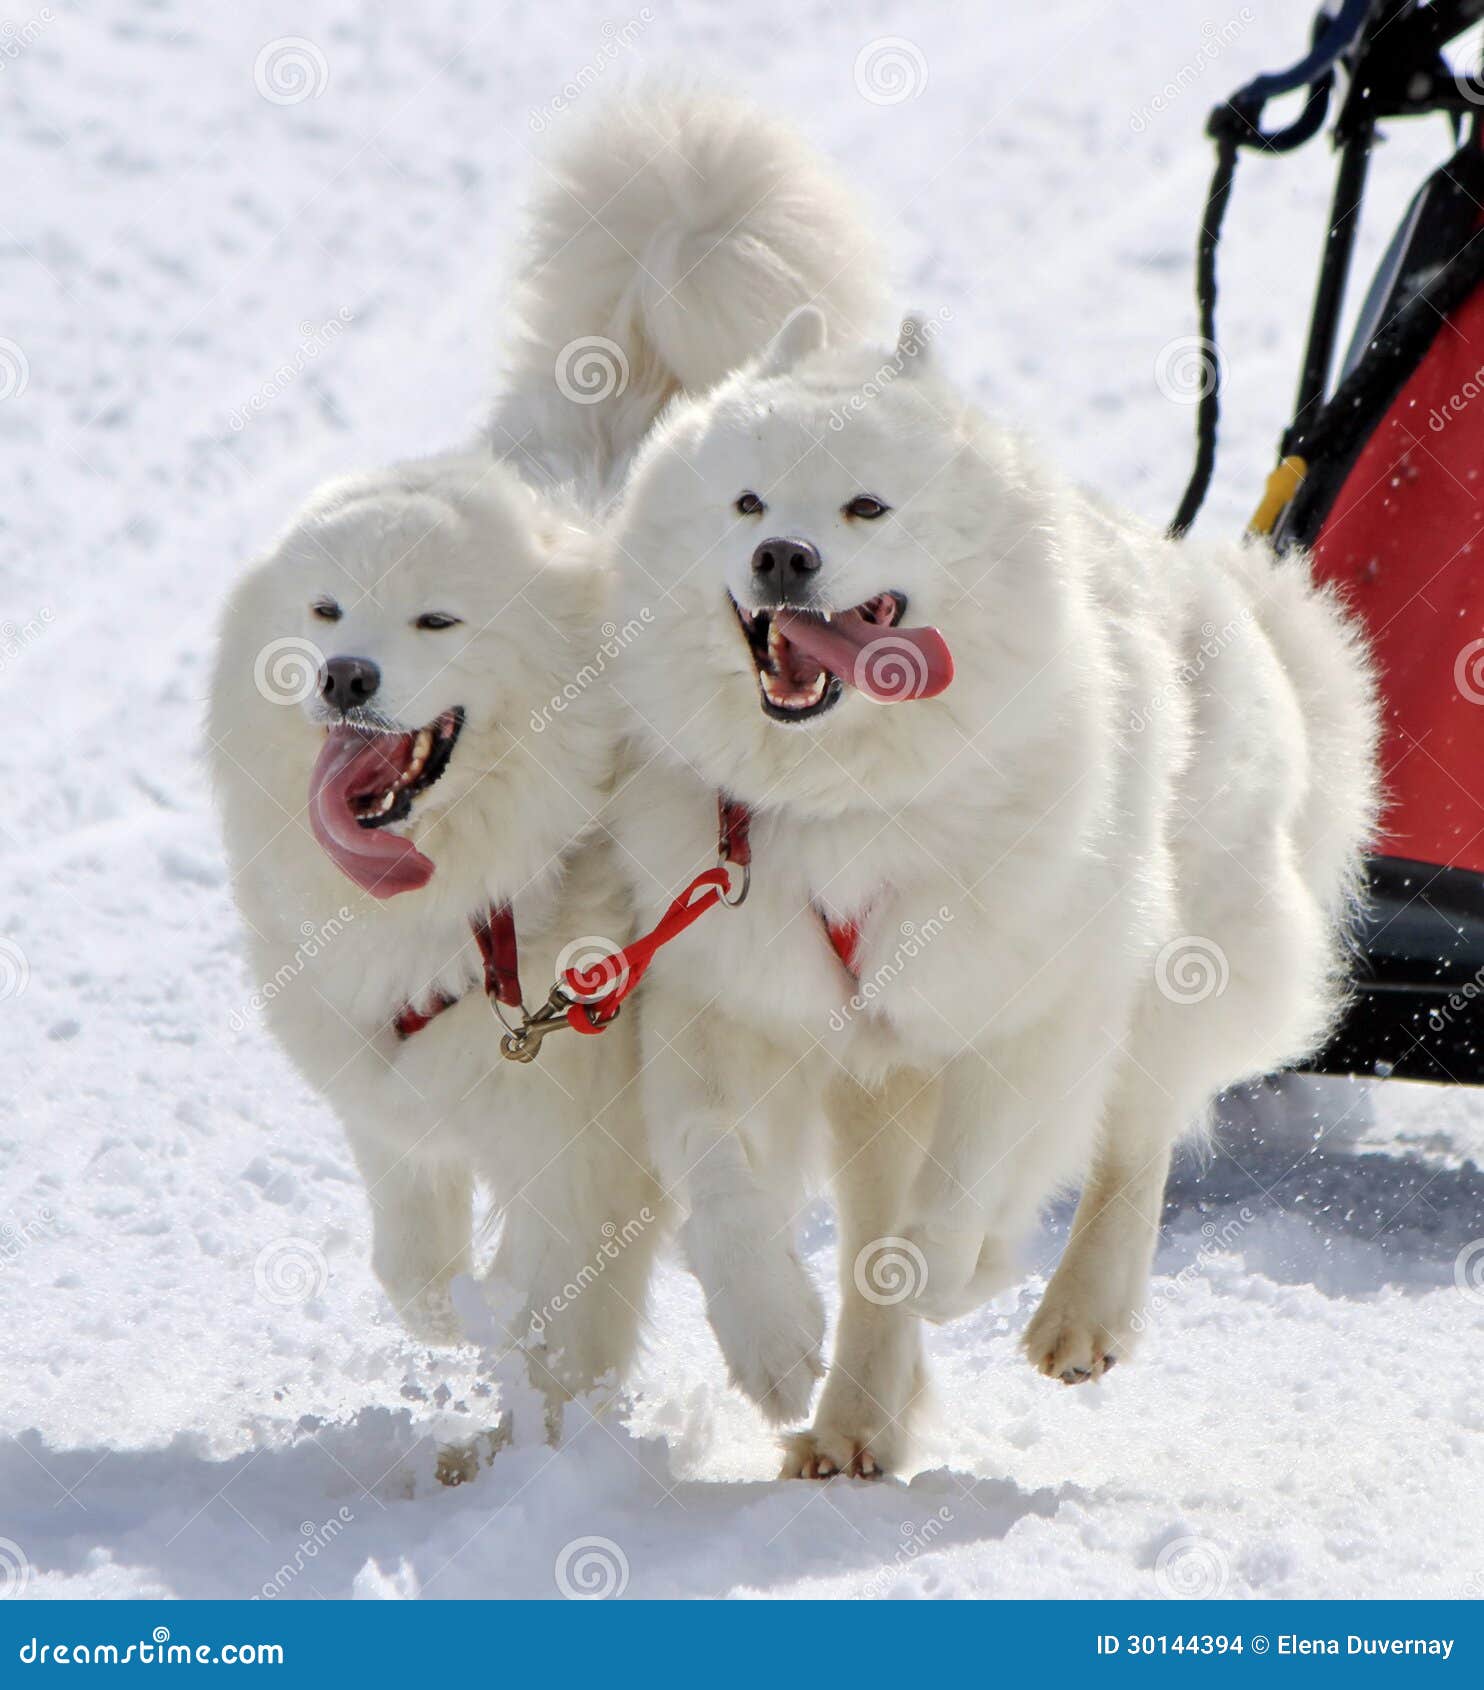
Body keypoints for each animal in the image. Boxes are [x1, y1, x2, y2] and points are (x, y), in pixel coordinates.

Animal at [209, 92, 885, 1426]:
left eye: (434, 622)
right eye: (324, 612)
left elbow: (557, 1324)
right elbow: (411, 1260)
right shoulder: (393, 1096)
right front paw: (447, 1325)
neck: (480, 899)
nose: (344, 675)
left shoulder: (579, 1145)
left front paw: (543, 1447)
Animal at [608, 307, 1385, 1480]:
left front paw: (960, 1270)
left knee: (1135, 1142)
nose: (782, 555)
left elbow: (962, 1196)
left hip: (1176, 971)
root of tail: (1233, 596)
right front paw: (772, 1343)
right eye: (746, 503)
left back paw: (1078, 1316)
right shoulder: (726, 998)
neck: (843, 801)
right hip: (875, 1078)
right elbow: (721, 1171)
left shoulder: (1026, 1006)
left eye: (866, 506)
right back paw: (850, 1423)